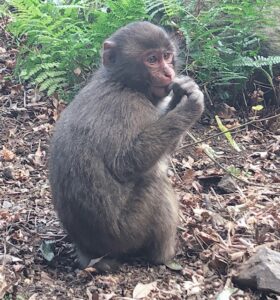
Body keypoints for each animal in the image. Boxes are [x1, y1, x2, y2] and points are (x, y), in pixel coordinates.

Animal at [48, 20, 203, 270]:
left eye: (167, 56)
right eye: (152, 59)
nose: (169, 73)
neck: (121, 82)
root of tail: (89, 251)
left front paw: (181, 92)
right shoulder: (128, 107)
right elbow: (126, 163)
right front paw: (190, 105)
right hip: (128, 232)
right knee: (155, 183)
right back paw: (163, 256)